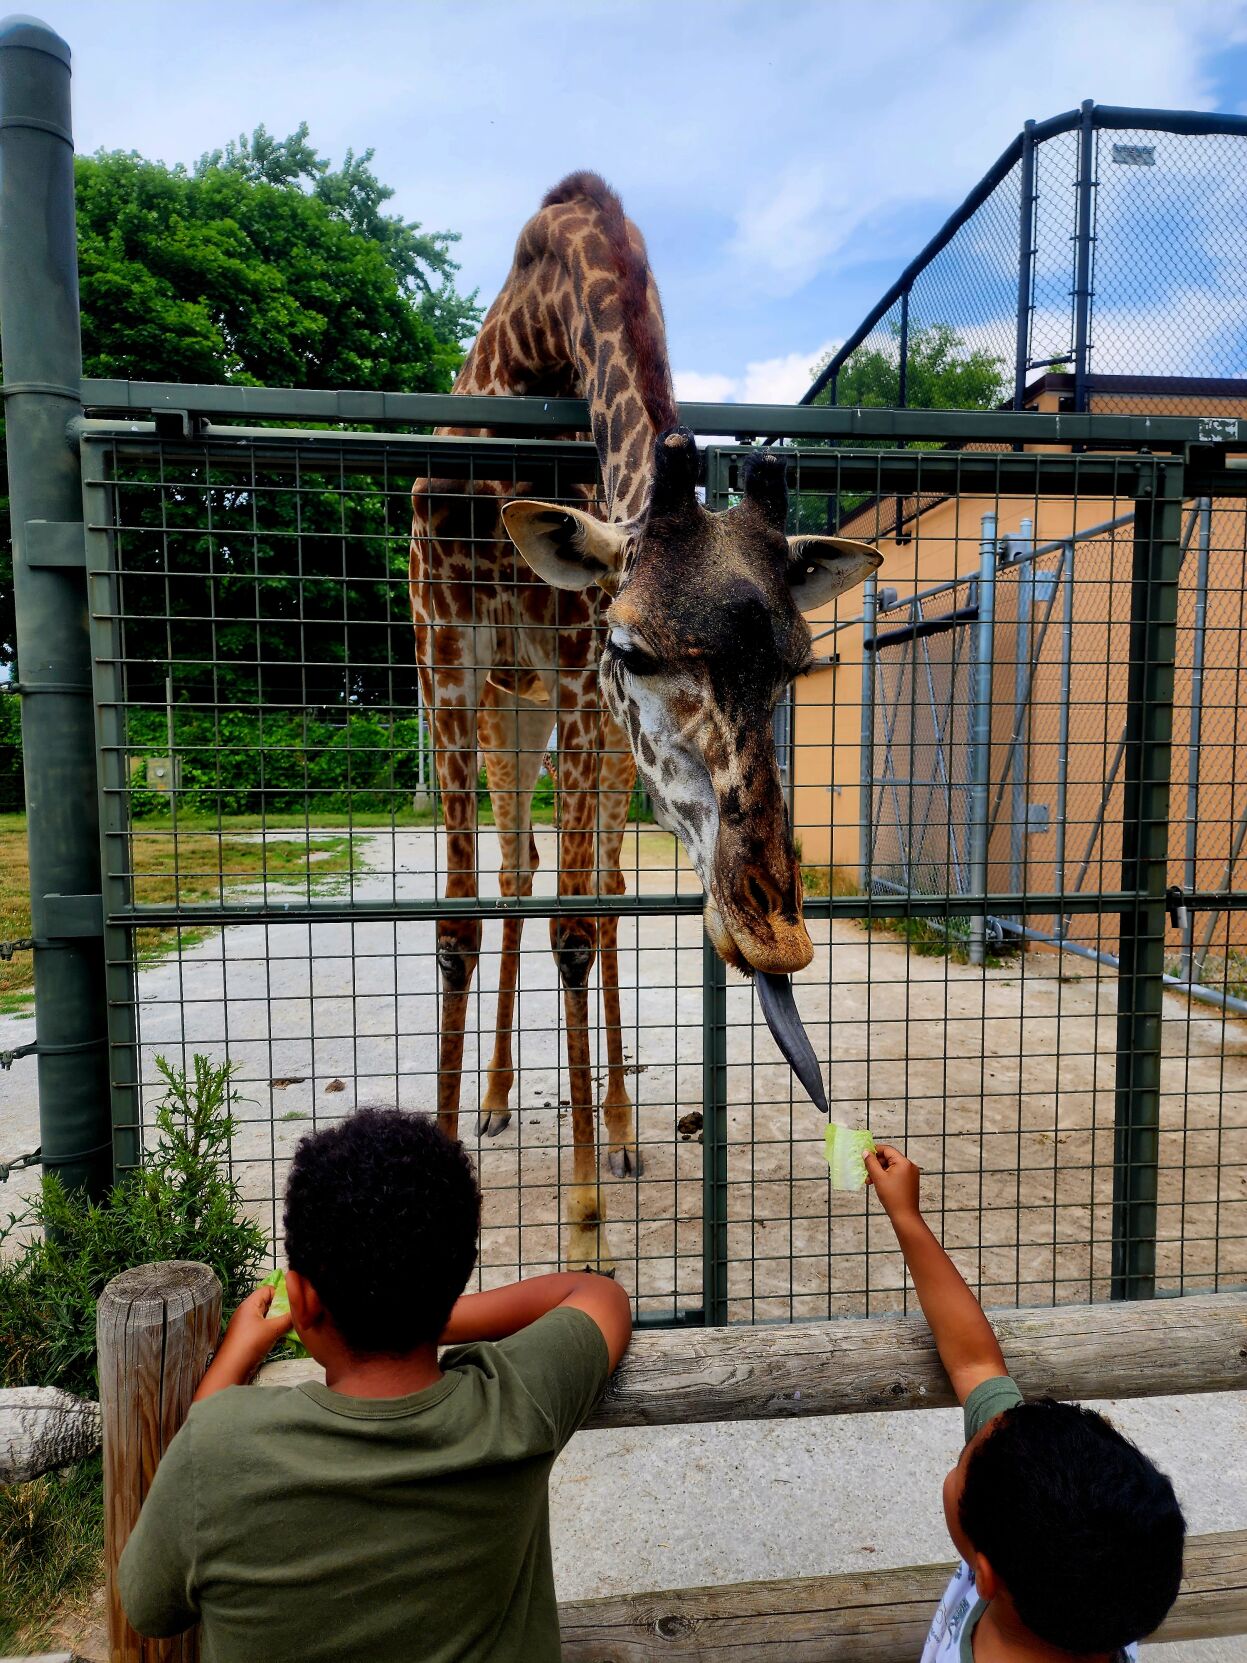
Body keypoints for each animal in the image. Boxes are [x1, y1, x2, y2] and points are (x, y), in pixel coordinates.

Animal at [410, 172, 880, 1271]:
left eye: (796, 663)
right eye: (635, 650)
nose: (772, 934)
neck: (528, 345)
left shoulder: (576, 670)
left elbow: (579, 926)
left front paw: (586, 1222)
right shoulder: (448, 643)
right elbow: (458, 922)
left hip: (559, 719)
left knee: (601, 890)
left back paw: (620, 1129)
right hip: (508, 711)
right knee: (517, 874)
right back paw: (496, 1101)